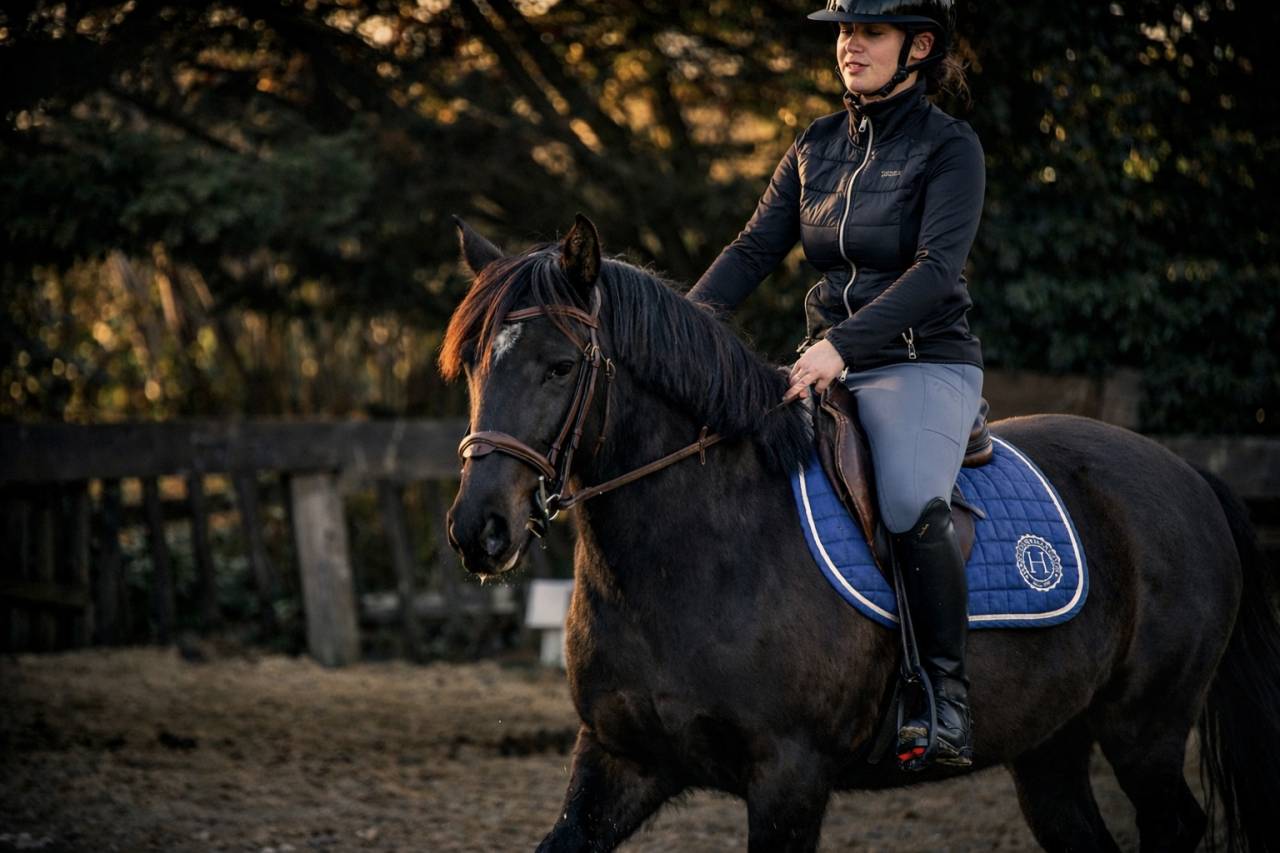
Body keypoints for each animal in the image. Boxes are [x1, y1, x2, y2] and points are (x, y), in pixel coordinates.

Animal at [440, 214, 1280, 853]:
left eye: (559, 365)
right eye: (475, 361)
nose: (479, 529)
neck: (697, 553)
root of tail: (1187, 473)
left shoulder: (790, 776)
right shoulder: (619, 759)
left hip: (1146, 731)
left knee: (1174, 821)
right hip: (1051, 748)